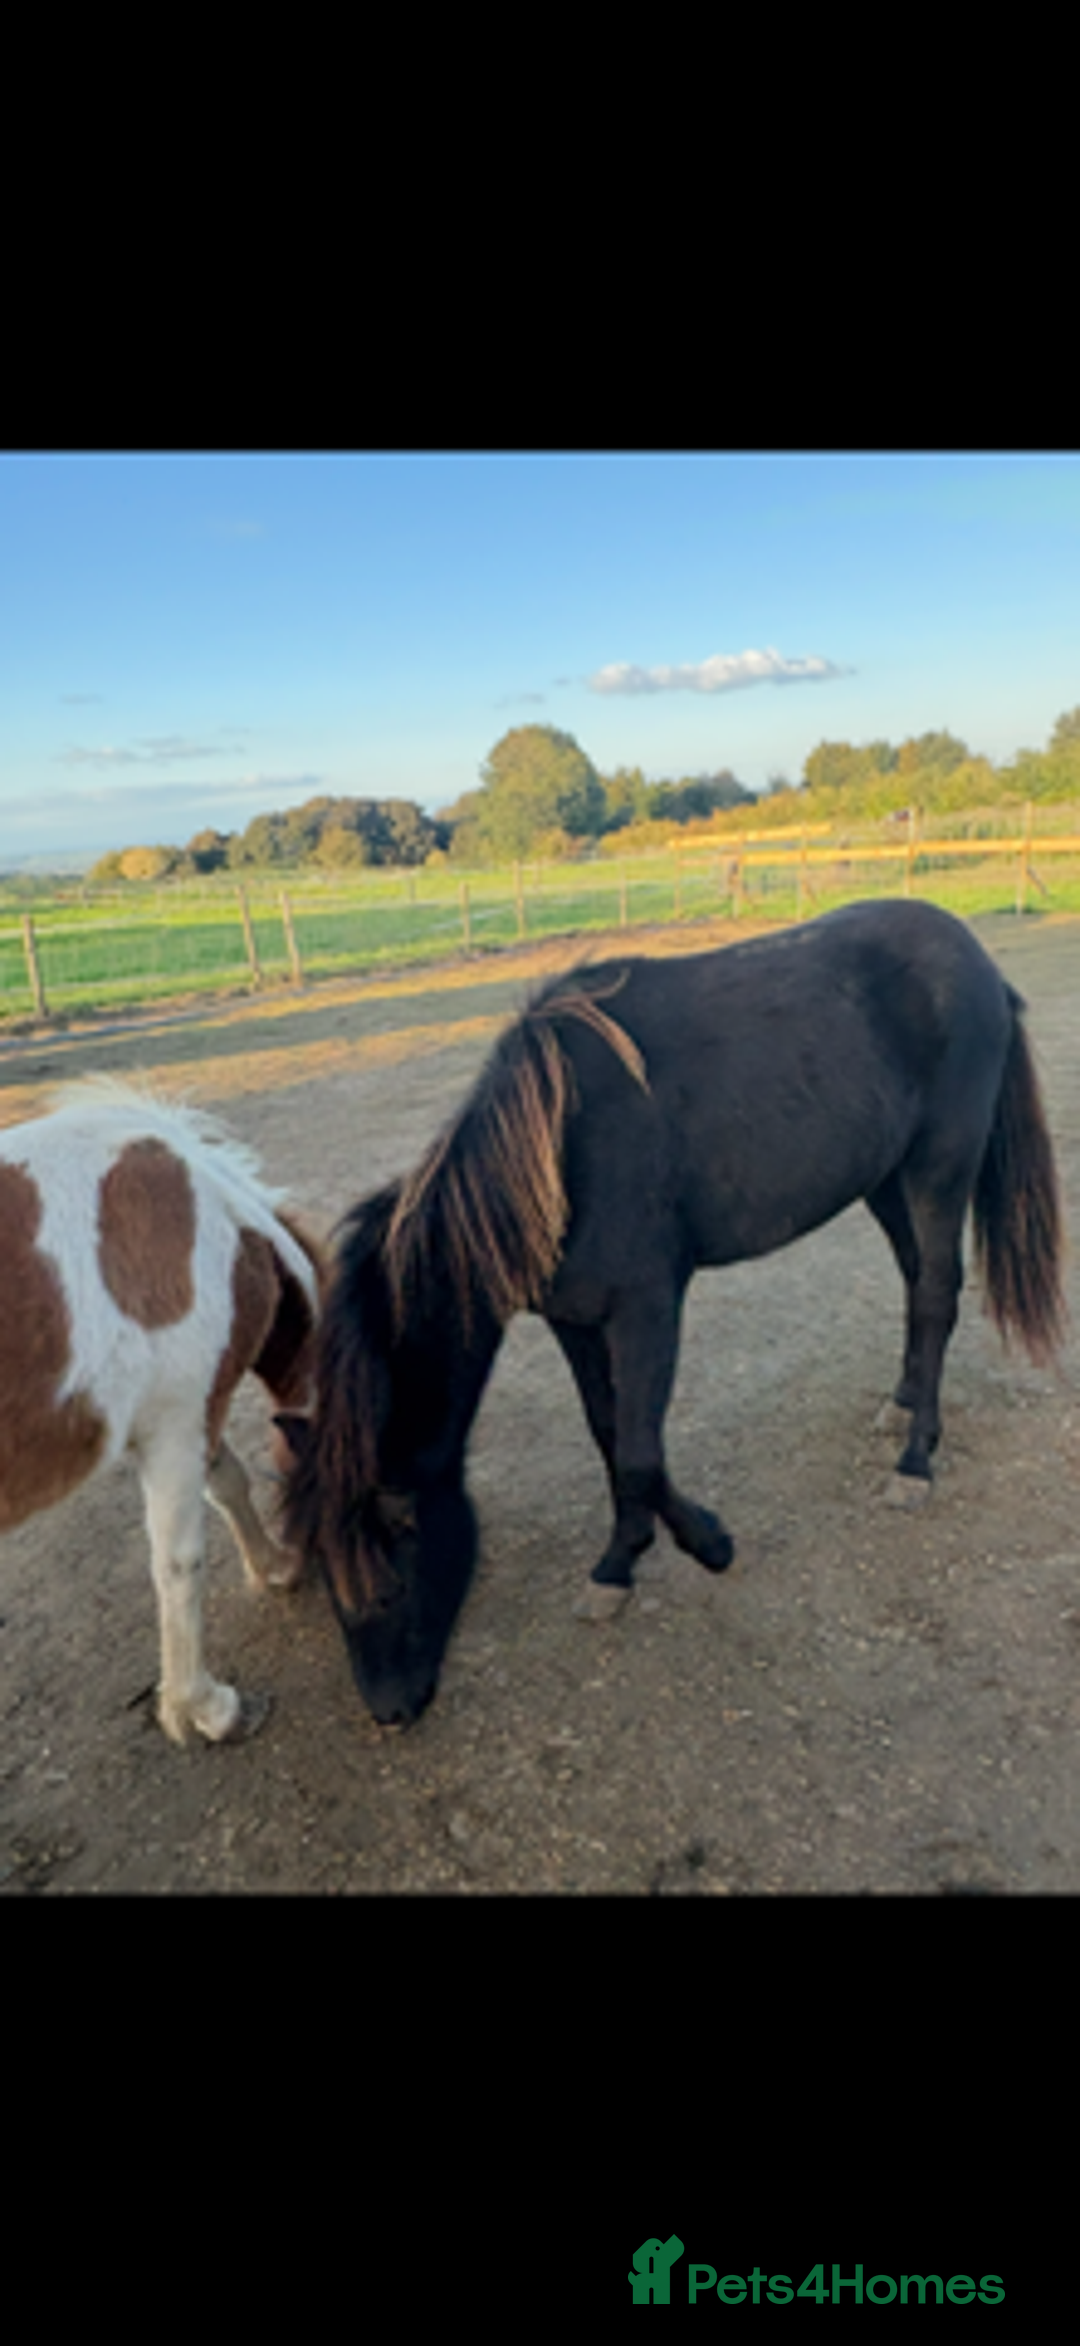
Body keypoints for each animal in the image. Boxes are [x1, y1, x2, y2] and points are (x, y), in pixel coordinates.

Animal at [0, 1079, 322, 1743]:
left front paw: (273, 1565)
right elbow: (179, 1563)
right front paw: (204, 1708)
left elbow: (227, 1484)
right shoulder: (174, 1425)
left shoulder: (190, 1408)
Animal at [278, 899, 1064, 1729]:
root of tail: (974, 957)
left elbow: (638, 1453)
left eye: (388, 1578)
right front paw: (619, 1564)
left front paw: (708, 1545)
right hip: (884, 1176)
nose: (389, 1710)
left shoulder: (647, 1309)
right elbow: (607, 1432)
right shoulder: (574, 1321)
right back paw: (903, 1403)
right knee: (916, 1287)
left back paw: (915, 1463)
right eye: (326, 1577)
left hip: (940, 1167)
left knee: (938, 1294)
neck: (558, 1153)